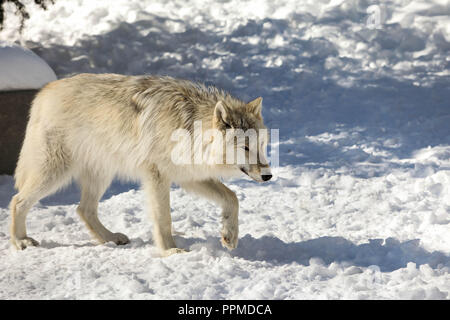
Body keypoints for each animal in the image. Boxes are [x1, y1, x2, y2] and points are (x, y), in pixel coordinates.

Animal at [9, 74, 270, 256]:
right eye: (246, 147)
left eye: (262, 145)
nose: (268, 176)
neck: (188, 127)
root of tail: (44, 91)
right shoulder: (157, 177)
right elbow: (164, 218)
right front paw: (170, 251)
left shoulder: (189, 176)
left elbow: (232, 198)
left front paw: (229, 236)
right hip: (54, 173)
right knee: (17, 201)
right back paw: (21, 241)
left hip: (101, 175)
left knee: (84, 209)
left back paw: (110, 238)